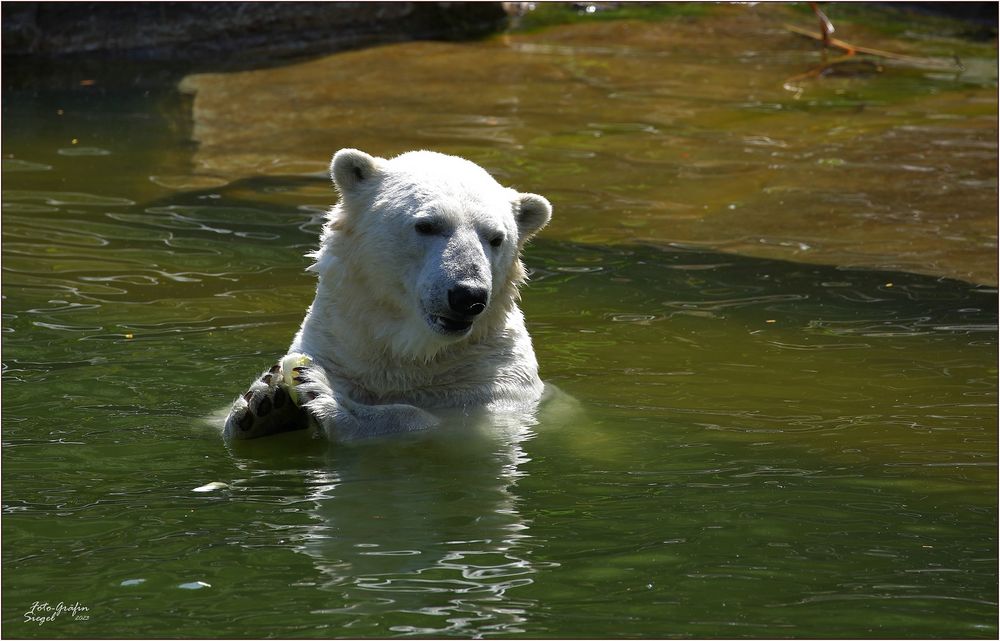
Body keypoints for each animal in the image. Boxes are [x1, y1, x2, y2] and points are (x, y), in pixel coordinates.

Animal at [223, 149, 552, 440]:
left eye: (496, 238)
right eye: (427, 225)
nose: (468, 295)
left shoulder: (493, 380)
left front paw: (326, 394)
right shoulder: (335, 348)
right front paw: (264, 402)